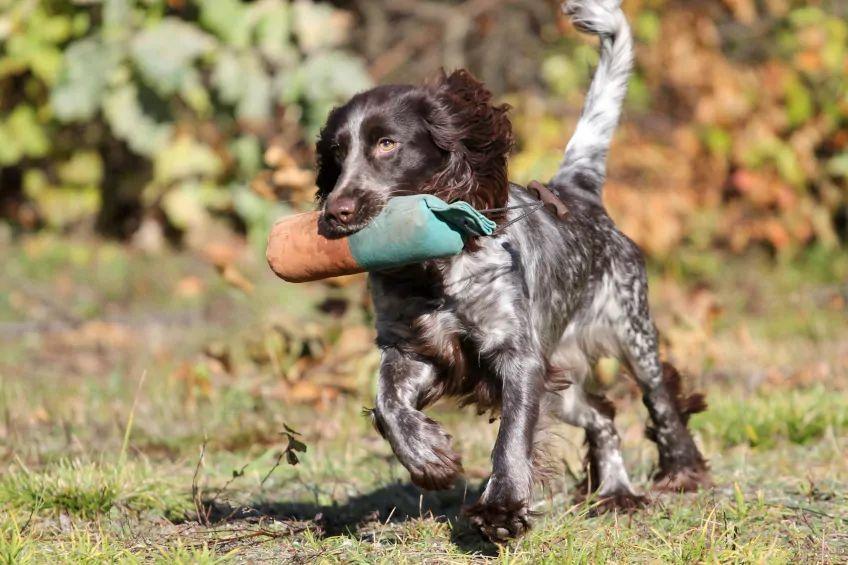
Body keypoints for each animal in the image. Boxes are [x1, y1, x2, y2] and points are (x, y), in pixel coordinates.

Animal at [312, 0, 708, 540]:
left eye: (387, 144)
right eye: (335, 153)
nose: (336, 212)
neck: (433, 273)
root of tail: (576, 191)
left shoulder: (518, 356)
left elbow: (512, 437)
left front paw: (500, 509)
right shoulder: (414, 349)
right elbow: (388, 404)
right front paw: (430, 458)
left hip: (630, 330)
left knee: (661, 398)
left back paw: (679, 471)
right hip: (561, 375)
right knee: (602, 414)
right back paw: (614, 491)